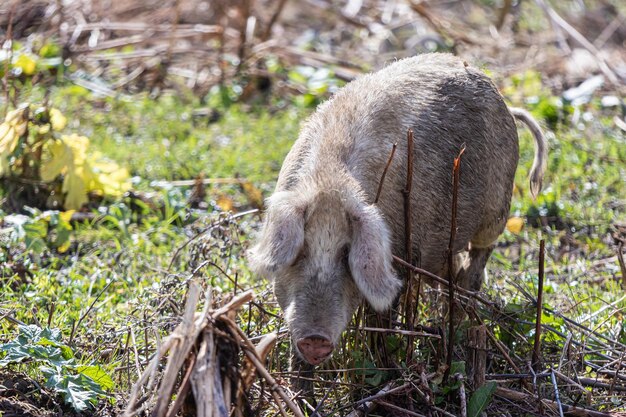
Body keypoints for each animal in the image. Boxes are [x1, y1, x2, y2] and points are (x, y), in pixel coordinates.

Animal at [246, 52, 544, 364]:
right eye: (301, 250)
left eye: (346, 253)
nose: (316, 339)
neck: (329, 182)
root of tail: (506, 105)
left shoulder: (400, 254)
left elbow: (384, 316)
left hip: (496, 211)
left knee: (476, 265)